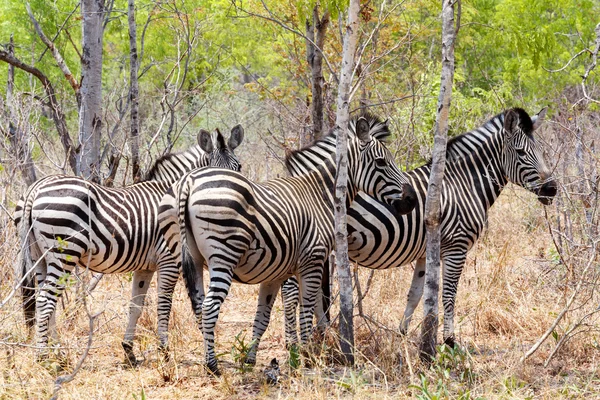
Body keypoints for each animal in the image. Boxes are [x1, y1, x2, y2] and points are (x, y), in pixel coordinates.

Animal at [14, 126, 244, 366]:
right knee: (45, 300)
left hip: (39, 256)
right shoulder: (168, 261)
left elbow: (136, 305)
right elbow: (164, 304)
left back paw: (57, 352)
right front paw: (164, 351)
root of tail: (35, 188)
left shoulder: (145, 266)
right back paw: (43, 356)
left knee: (45, 299)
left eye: (239, 167)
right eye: (211, 171)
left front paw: (129, 351)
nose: (226, 206)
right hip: (64, 252)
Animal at [158, 116, 418, 376]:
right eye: (381, 162)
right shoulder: (312, 260)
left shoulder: (276, 272)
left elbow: (263, 316)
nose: (411, 200)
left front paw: (252, 359)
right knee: (210, 306)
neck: (320, 194)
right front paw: (306, 356)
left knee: (198, 305)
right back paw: (213, 366)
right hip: (223, 254)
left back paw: (208, 358)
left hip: (188, 256)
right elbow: (307, 308)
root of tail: (189, 181)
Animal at [282, 107, 556, 346]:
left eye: (542, 151)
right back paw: (293, 344)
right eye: (521, 153)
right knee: (291, 292)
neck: (463, 184)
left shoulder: (426, 252)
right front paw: (449, 341)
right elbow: (448, 294)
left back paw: (322, 334)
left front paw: (402, 334)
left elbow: (416, 295)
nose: (552, 189)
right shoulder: (456, 247)